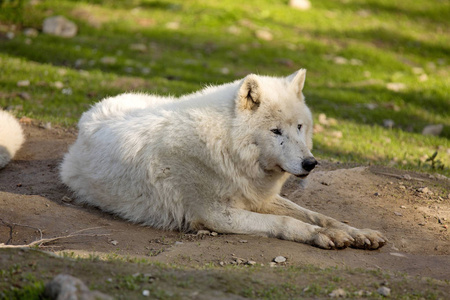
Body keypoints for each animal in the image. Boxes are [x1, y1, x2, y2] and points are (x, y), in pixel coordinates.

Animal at [61, 69, 386, 250]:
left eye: (299, 127)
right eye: (275, 131)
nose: (311, 164)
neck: (225, 147)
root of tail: (94, 108)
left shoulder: (258, 197)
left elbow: (320, 216)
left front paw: (357, 233)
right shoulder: (214, 214)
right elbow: (285, 221)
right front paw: (321, 236)